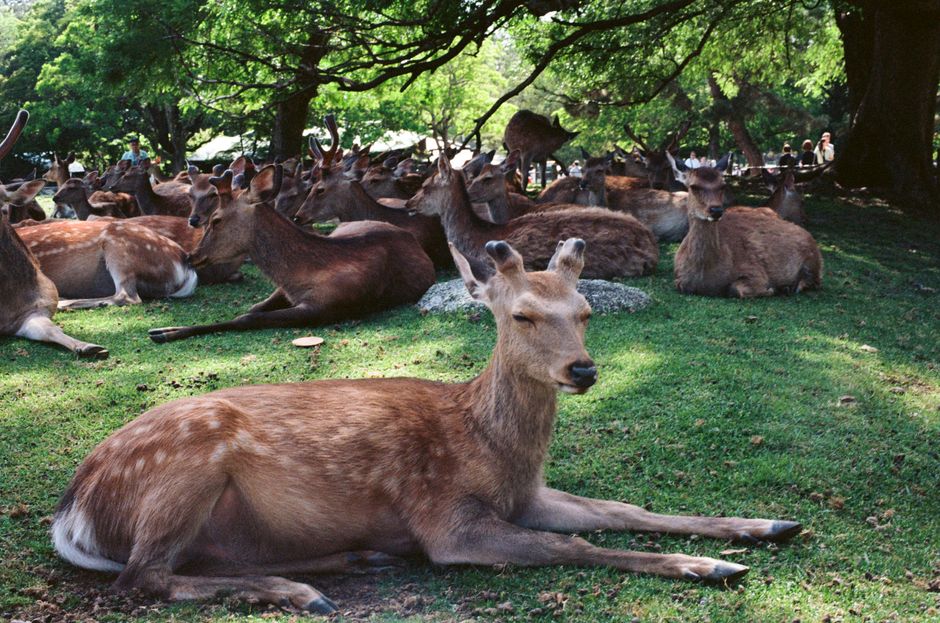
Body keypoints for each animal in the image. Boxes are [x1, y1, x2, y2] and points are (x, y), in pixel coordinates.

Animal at [53, 236, 802, 615]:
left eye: (587, 310)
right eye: (522, 314)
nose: (583, 369)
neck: (490, 447)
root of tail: (70, 511)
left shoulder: (528, 493)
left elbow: (626, 509)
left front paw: (766, 524)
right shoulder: (445, 518)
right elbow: (575, 546)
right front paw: (711, 565)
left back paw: (355, 560)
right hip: (184, 469)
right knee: (141, 578)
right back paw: (301, 592)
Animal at [147, 164, 435, 343]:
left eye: (216, 219)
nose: (190, 256)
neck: (300, 275)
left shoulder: (325, 307)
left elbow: (248, 318)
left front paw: (166, 332)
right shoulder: (285, 291)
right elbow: (252, 308)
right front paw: (164, 329)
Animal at [668, 153, 822, 297]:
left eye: (723, 185)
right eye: (693, 186)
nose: (716, 210)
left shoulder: (755, 271)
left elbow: (736, 289)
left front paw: (772, 289)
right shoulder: (679, 280)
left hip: (814, 260)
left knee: (814, 280)